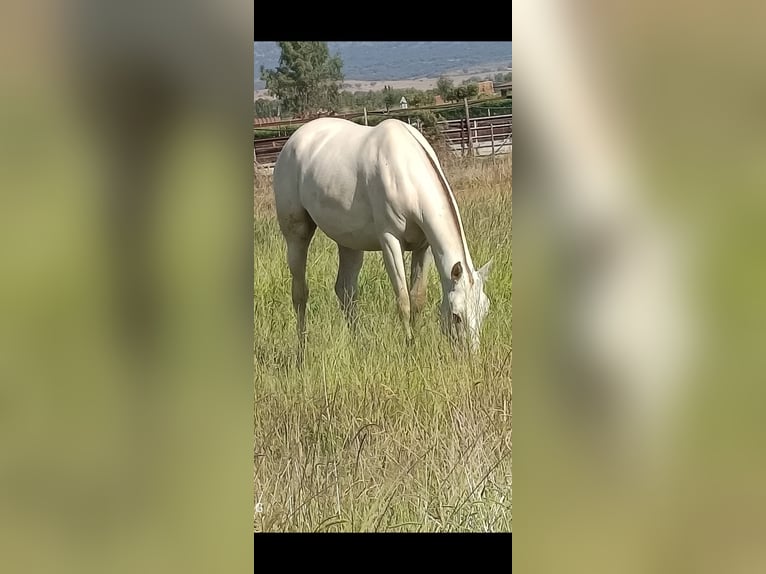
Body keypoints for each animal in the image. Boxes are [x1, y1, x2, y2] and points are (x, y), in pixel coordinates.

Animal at [272, 118, 496, 358]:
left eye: (485, 310)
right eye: (456, 315)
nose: (471, 357)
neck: (406, 174)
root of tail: (293, 141)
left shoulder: (423, 246)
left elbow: (417, 298)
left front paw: (417, 343)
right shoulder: (390, 241)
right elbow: (403, 300)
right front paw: (410, 347)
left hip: (349, 241)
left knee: (346, 291)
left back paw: (359, 345)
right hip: (296, 234)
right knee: (300, 293)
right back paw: (302, 349)